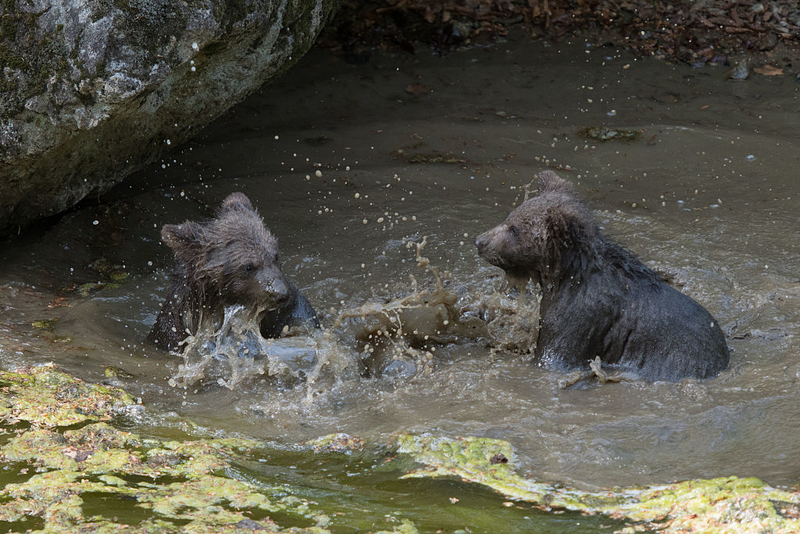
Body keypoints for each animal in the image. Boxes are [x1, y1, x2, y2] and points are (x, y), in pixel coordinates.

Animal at [476, 172, 732, 382]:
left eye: (514, 229)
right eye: (510, 216)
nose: (480, 241)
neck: (561, 278)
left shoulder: (578, 317)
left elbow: (556, 354)